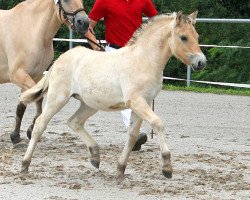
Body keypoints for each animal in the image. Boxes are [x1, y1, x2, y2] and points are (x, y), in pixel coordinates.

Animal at [0, 0, 89, 144]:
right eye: (66, 0)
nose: (84, 22)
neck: (33, 28)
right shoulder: (18, 74)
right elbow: (38, 97)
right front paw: (31, 129)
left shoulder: (35, 76)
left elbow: (23, 104)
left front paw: (16, 136)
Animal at [20, 10, 206, 180]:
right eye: (183, 37)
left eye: (196, 36)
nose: (201, 62)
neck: (143, 60)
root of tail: (59, 60)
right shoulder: (137, 101)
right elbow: (158, 123)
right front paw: (167, 167)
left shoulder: (143, 103)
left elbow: (132, 135)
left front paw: (120, 168)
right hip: (57, 98)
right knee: (40, 125)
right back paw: (25, 165)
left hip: (89, 104)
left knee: (74, 122)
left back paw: (95, 156)